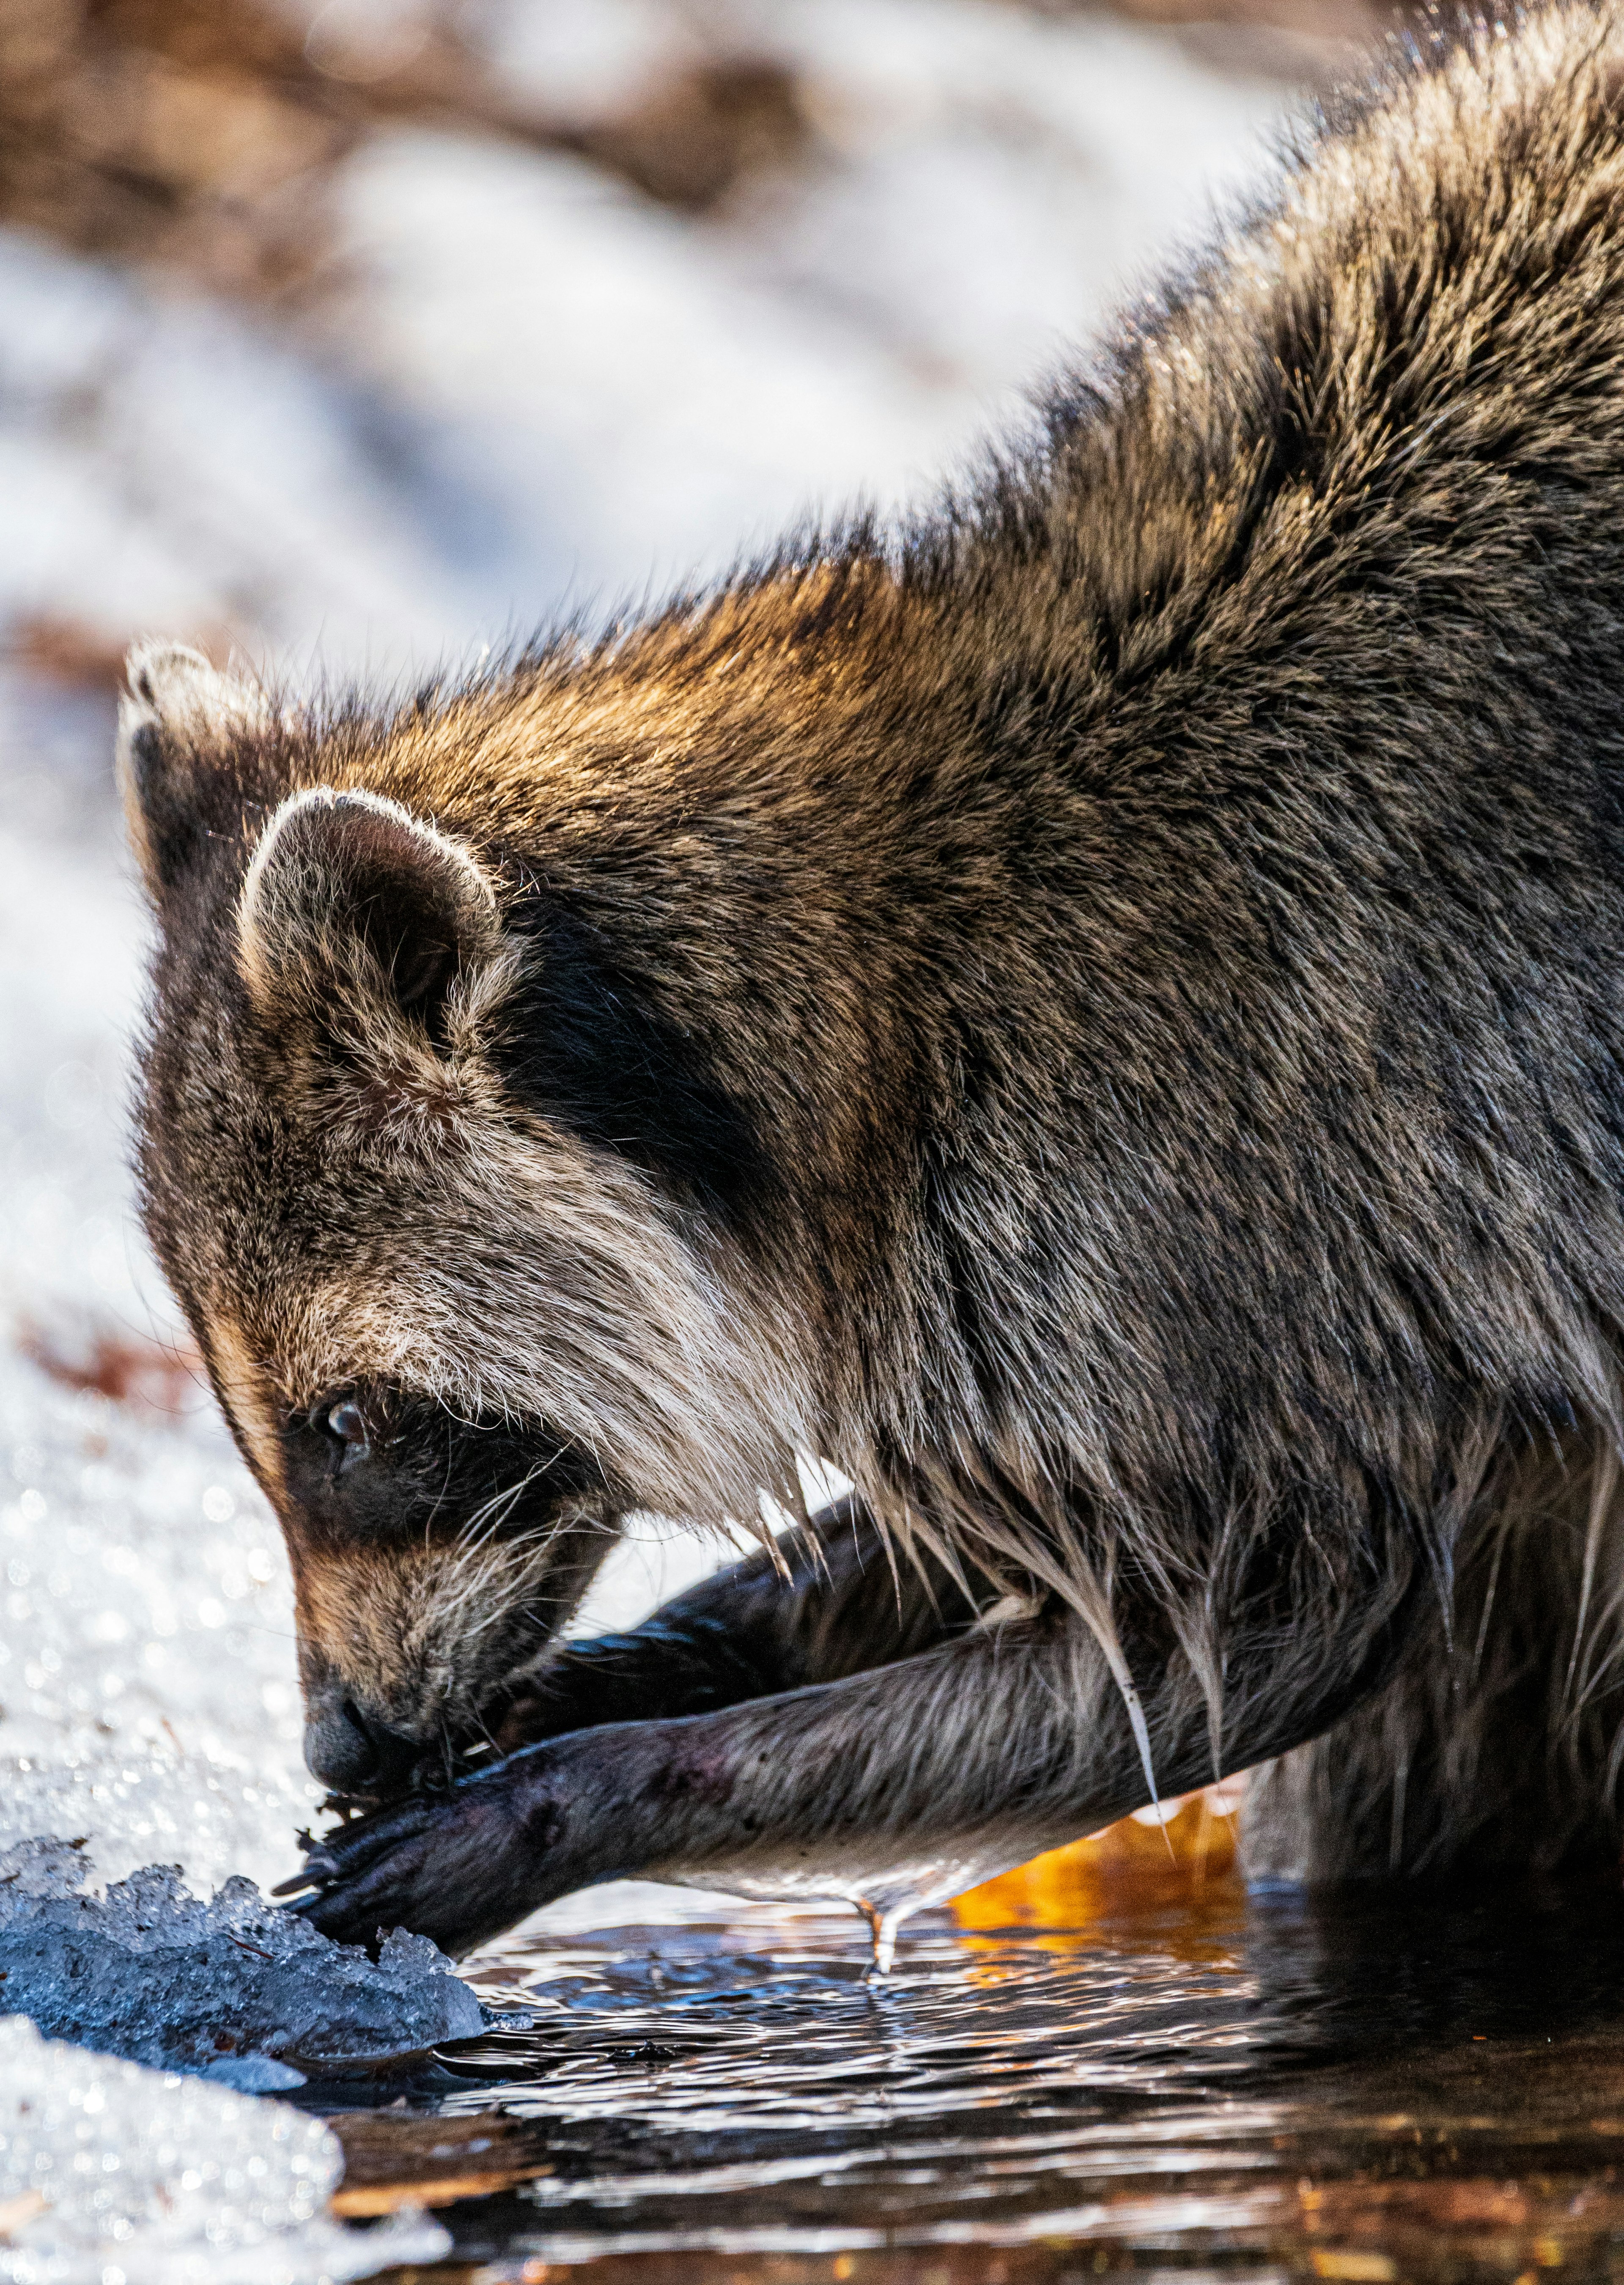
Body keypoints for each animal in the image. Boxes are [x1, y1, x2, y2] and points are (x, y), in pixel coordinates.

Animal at [126, 4, 1624, 1965]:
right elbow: (964, 1548)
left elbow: (1247, 1647)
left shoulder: (1246, 1231)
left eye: (353, 1425)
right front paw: (653, 1661)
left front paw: (588, 1794)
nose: (341, 1732)